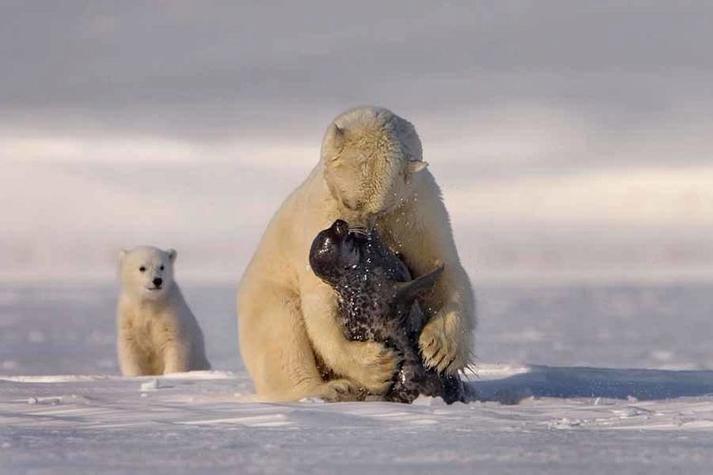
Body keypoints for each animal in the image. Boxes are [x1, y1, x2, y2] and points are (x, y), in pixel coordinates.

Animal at [117, 246, 211, 376]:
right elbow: (131, 348)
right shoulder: (129, 317)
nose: (157, 280)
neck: (150, 303)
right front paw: (135, 375)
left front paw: (171, 374)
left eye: (162, 266)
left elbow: (174, 345)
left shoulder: (170, 315)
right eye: (142, 268)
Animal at [237, 106, 475, 402]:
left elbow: (443, 265)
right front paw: (376, 366)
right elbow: (321, 306)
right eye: (349, 202)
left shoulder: (417, 207)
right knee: (281, 332)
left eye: (378, 209)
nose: (352, 231)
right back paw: (331, 388)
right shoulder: (320, 214)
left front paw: (441, 350)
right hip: (266, 292)